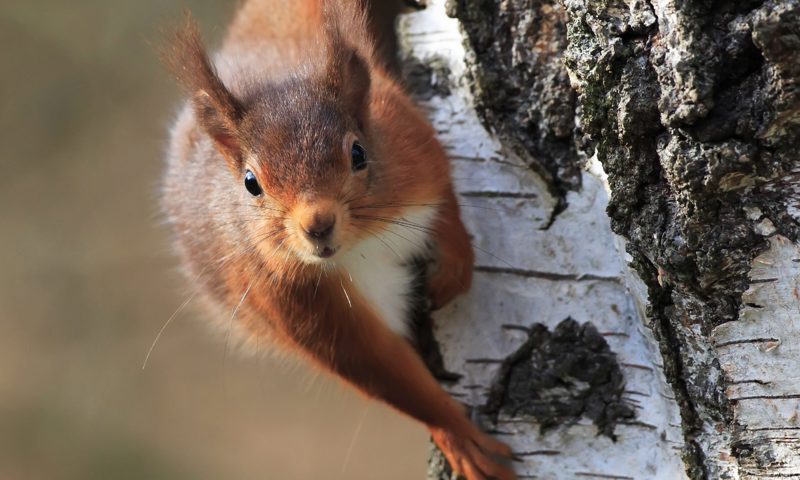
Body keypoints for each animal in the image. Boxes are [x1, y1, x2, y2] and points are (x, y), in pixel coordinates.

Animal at [161, 1, 515, 478]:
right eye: (251, 183)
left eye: (359, 154)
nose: (317, 225)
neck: (361, 247)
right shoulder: (292, 300)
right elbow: (380, 369)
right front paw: (456, 433)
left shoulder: (415, 152)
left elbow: (446, 204)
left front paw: (453, 270)